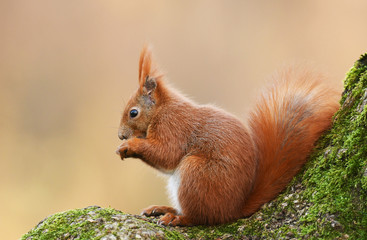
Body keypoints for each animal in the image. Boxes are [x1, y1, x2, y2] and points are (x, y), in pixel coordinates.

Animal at [115, 46, 342, 226]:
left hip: (196, 174)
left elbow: (167, 154)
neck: (161, 109)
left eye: (133, 112)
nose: (120, 136)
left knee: (201, 217)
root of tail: (234, 209)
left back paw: (177, 218)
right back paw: (163, 209)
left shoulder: (173, 126)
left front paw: (130, 146)